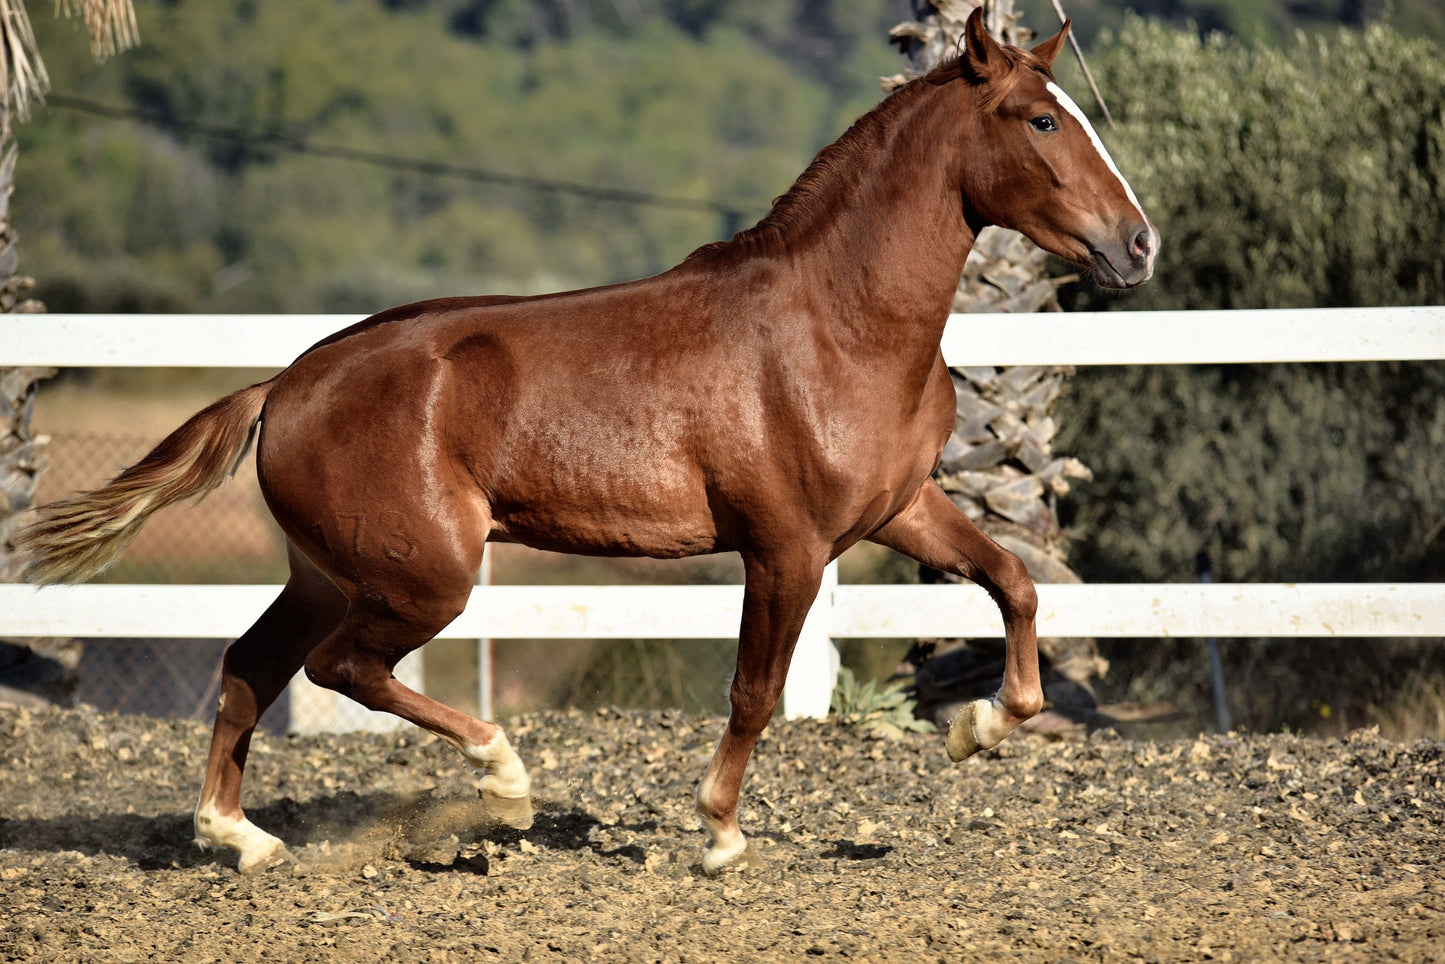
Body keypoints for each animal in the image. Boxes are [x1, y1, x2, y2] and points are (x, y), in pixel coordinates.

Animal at [13, 9, 1156, 875]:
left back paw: (241, 838)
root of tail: (288, 383)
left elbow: (1014, 583)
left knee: (252, 664)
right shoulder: (784, 548)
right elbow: (753, 692)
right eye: (1040, 119)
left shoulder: (897, 510)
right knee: (342, 670)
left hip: (331, 572)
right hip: (424, 578)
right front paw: (718, 837)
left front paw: (979, 728)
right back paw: (504, 781)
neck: (838, 326)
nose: (1136, 245)